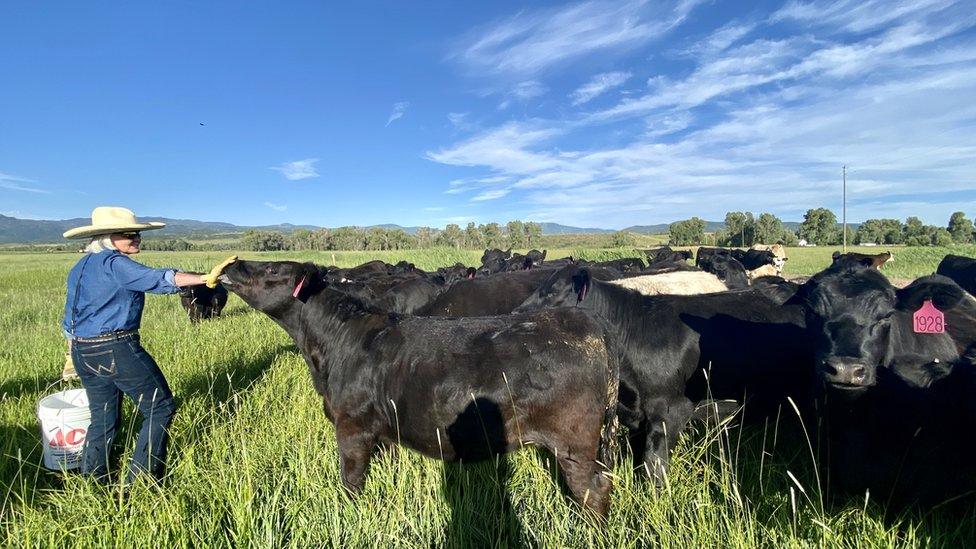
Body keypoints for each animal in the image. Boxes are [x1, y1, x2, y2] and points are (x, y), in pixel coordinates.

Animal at [221, 260, 616, 516]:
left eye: (273, 270)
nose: (233, 263)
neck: (335, 343)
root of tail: (586, 324)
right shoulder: (385, 429)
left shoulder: (351, 426)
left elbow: (351, 480)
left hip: (575, 442)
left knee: (593, 489)